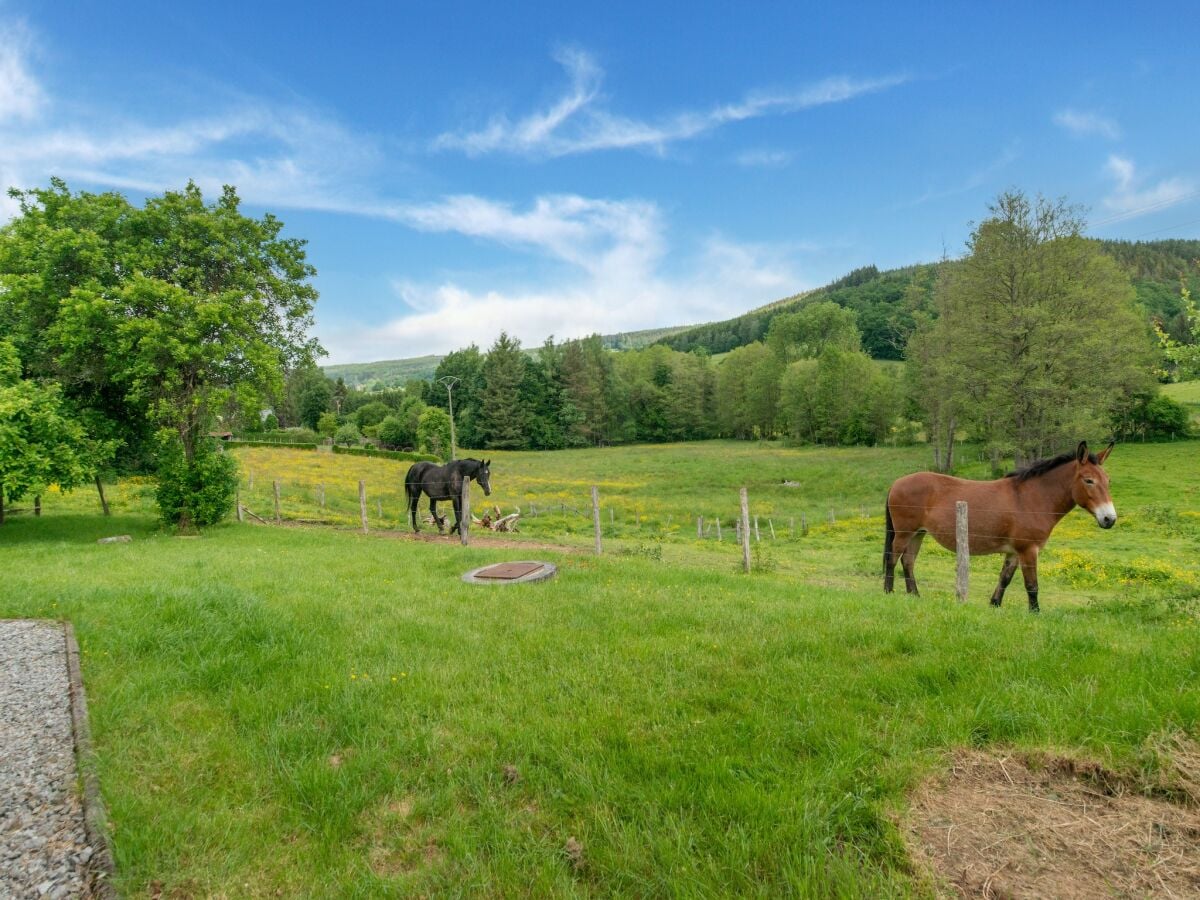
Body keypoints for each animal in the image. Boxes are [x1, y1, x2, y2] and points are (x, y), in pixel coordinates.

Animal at [883, 441, 1113, 614]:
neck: (1031, 499)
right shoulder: (1028, 550)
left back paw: (914, 595)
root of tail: (896, 483)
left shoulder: (1014, 552)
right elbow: (1032, 585)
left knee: (908, 562)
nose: (1109, 519)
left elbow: (1005, 578)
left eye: (1108, 480)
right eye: (1089, 480)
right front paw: (1035, 613)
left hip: (918, 534)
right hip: (904, 533)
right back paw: (888, 592)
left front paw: (995, 605)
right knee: (893, 558)